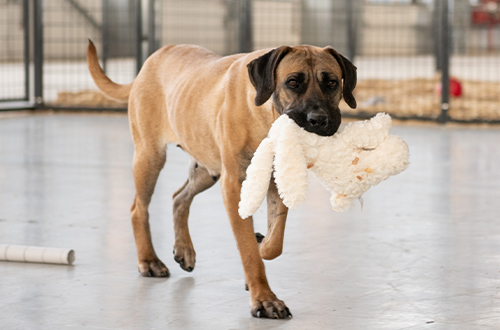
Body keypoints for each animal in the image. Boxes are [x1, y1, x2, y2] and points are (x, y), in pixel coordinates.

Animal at [88, 40, 358, 318]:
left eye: (332, 83)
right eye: (293, 82)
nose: (319, 120)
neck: (266, 114)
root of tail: (150, 62)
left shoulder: (276, 180)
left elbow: (275, 241)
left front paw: (261, 243)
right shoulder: (233, 186)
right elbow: (248, 249)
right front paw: (264, 299)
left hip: (206, 169)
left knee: (179, 197)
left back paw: (184, 249)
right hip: (150, 157)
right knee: (138, 209)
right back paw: (148, 260)